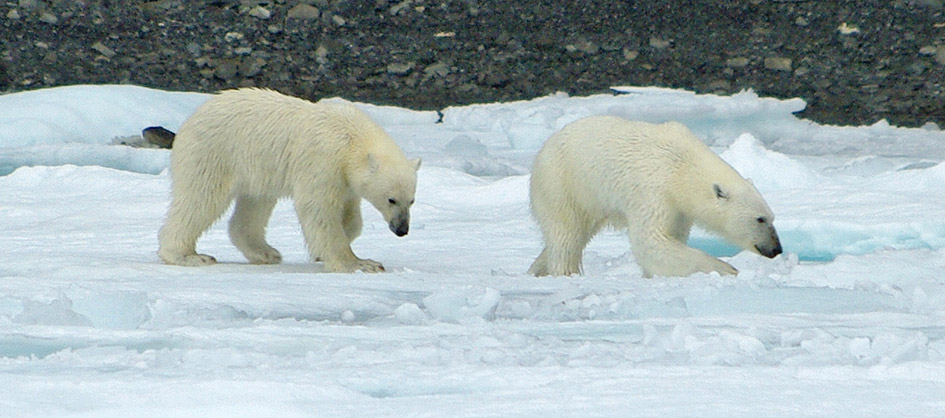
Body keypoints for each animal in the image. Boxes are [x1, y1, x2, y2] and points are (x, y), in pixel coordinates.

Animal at [159, 88, 420, 272]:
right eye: (391, 199)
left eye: (412, 200)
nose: (402, 229)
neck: (352, 139)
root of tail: (190, 120)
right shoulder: (323, 161)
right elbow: (318, 209)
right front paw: (359, 264)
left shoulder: (344, 179)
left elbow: (351, 216)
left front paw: (325, 250)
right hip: (213, 154)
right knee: (200, 199)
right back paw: (188, 256)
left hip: (256, 168)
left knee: (255, 205)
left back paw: (266, 253)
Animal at [528, 116, 780, 278]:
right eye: (760, 219)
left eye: (771, 217)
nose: (777, 249)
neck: (682, 168)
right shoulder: (654, 191)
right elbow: (651, 241)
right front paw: (726, 269)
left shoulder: (680, 209)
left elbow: (672, 236)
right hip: (563, 184)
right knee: (566, 236)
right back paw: (564, 273)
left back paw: (536, 269)